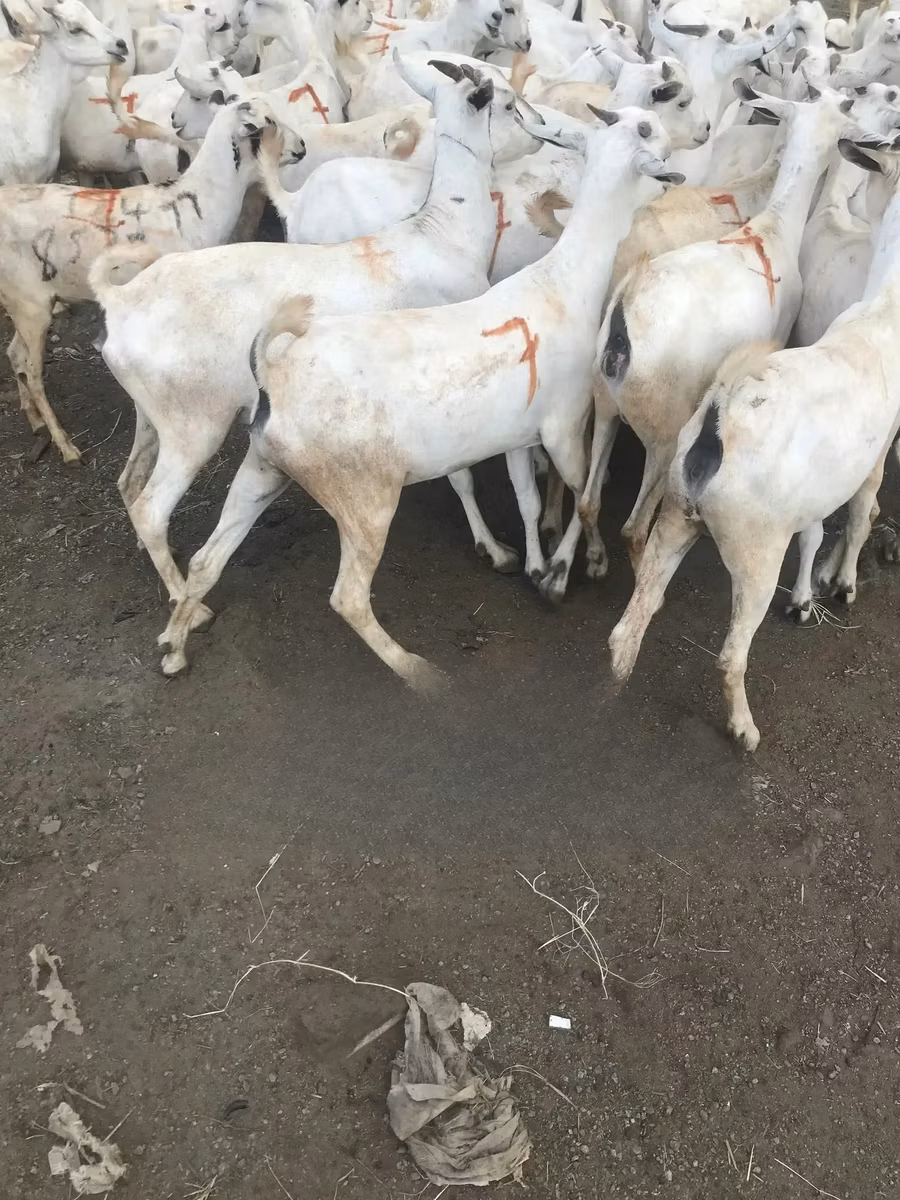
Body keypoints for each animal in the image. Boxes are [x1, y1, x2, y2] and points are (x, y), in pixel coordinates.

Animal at [2, 96, 304, 462]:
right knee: (32, 373)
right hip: (30, 305)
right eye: (267, 123)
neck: (202, 201)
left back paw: (35, 421)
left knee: (15, 356)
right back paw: (66, 446)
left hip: (26, 303)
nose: (302, 148)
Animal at [607, 130, 900, 752]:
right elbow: (861, 513)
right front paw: (842, 585)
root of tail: (716, 418)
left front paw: (808, 596)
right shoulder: (875, 455)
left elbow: (816, 528)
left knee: (630, 621)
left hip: (678, 517)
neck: (884, 310)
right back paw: (744, 730)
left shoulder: (811, 492)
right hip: (754, 549)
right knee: (729, 656)